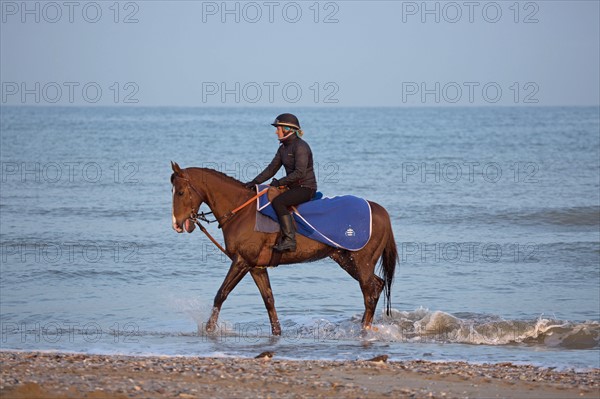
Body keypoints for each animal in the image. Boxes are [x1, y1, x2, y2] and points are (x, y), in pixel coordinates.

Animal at [170, 162, 398, 338]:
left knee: (369, 293)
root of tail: (380, 211)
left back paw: (364, 330)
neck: (242, 210)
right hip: (346, 260)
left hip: (361, 262)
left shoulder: (241, 261)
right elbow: (269, 300)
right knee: (376, 286)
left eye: (180, 192)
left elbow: (221, 294)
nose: (177, 224)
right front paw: (277, 333)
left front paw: (209, 330)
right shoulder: (256, 267)